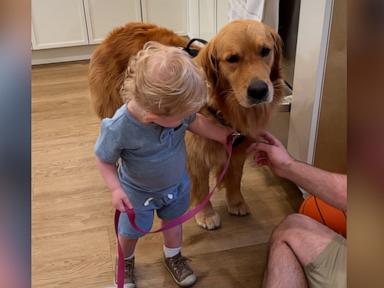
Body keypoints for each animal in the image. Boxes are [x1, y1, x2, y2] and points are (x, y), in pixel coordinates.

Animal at [88, 19, 284, 230]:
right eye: (232, 59)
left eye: (265, 51)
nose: (259, 90)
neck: (223, 108)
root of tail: (122, 29)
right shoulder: (196, 156)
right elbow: (202, 188)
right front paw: (206, 214)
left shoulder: (238, 148)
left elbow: (235, 177)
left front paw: (236, 202)